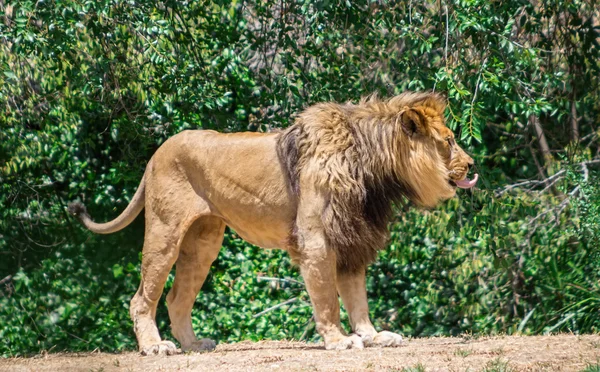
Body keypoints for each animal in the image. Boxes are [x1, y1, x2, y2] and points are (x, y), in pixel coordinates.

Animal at [67, 90, 478, 354]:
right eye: (449, 141)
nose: (473, 165)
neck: (372, 169)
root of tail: (156, 153)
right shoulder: (317, 239)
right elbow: (328, 299)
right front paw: (339, 340)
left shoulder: (352, 238)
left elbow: (357, 298)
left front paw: (373, 336)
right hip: (164, 233)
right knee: (142, 297)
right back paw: (155, 347)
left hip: (203, 244)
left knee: (176, 297)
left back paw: (194, 344)